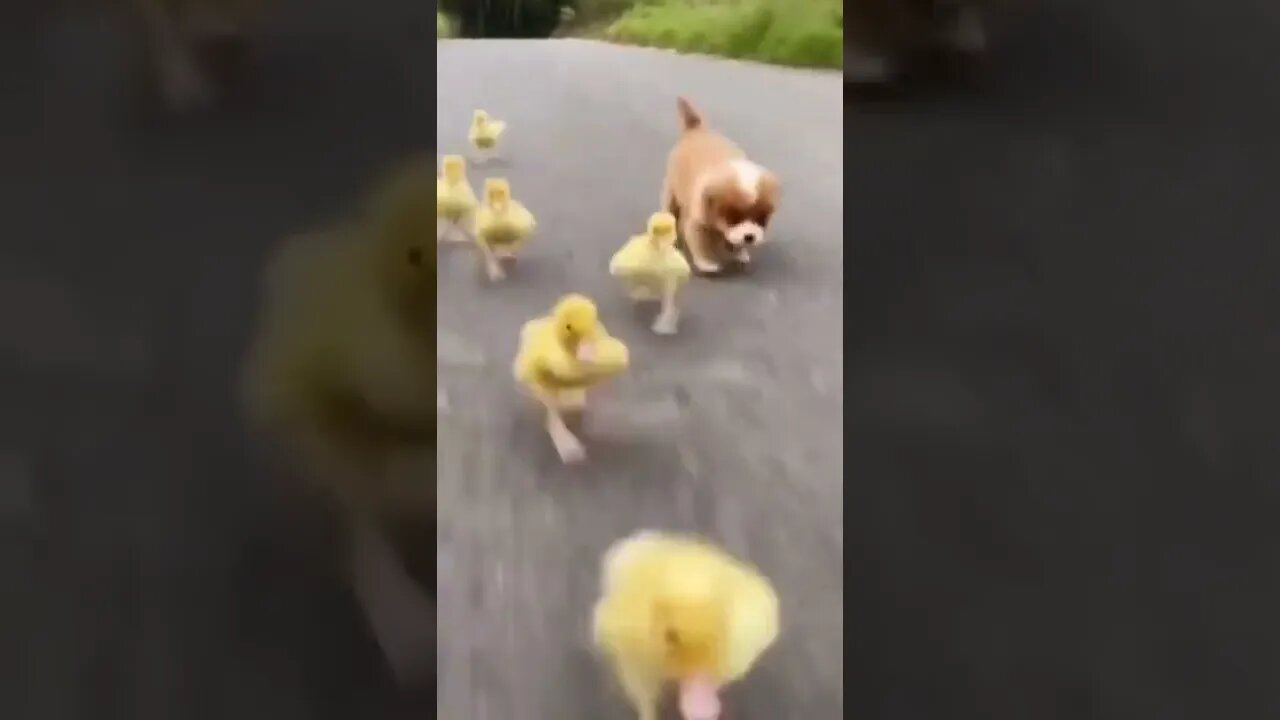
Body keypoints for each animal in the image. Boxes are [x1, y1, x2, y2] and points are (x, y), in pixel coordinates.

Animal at [660, 96, 778, 274]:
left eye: (761, 219)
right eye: (733, 218)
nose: (749, 237)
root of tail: (697, 130)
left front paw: (739, 252)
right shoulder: (698, 217)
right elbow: (699, 240)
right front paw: (707, 262)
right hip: (672, 190)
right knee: (671, 210)